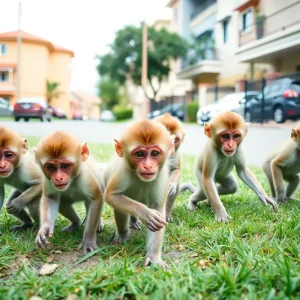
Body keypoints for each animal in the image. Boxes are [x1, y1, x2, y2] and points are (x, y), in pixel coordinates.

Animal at [103, 118, 172, 268]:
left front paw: (153, 257)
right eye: (139, 154)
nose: (148, 166)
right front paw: (147, 214)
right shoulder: (122, 172)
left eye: (154, 153)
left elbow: (158, 208)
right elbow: (111, 196)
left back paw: (134, 221)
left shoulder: (162, 176)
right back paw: (123, 234)